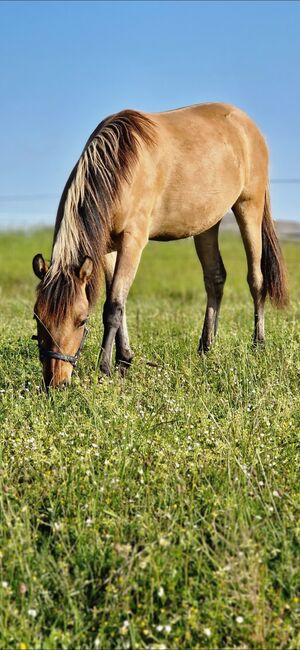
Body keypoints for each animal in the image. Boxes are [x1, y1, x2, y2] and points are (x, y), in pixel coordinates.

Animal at [32, 100, 288, 384]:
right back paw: (206, 347)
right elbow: (119, 301)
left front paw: (106, 369)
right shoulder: (108, 248)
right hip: (207, 224)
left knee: (256, 279)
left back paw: (258, 344)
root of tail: (248, 126)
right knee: (215, 279)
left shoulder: (133, 242)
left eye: (81, 320)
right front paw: (124, 360)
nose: (55, 381)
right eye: (38, 319)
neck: (121, 164)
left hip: (249, 207)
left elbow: (113, 306)